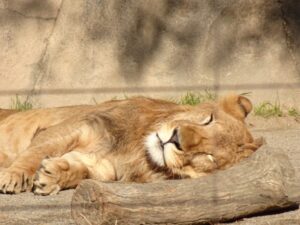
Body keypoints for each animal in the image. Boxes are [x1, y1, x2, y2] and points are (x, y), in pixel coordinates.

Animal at [0, 93, 262, 195]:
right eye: (208, 120)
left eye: (209, 157)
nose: (175, 138)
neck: (138, 151)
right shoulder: (72, 127)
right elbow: (35, 152)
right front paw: (13, 176)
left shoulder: (102, 167)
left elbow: (79, 171)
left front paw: (52, 176)